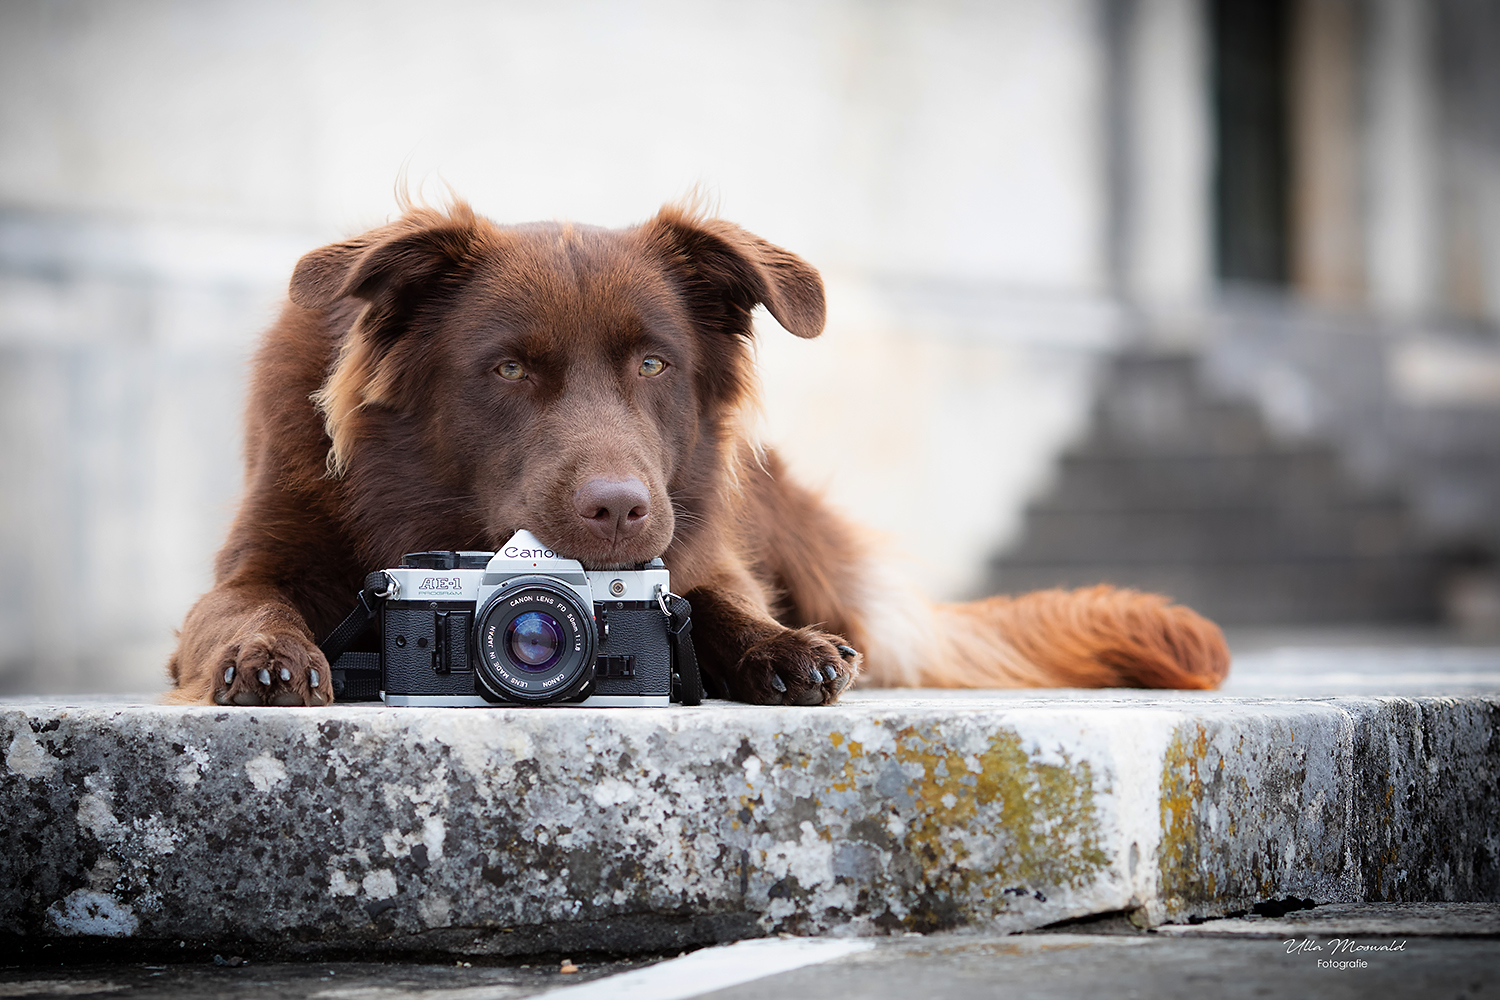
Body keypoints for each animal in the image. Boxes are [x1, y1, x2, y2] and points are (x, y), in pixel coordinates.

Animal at [170, 199, 1230, 707]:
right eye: (508, 369)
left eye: (654, 363)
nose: (618, 510)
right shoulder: (251, 563)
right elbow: (248, 608)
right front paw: (272, 656)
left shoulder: (695, 553)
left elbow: (721, 602)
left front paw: (786, 653)